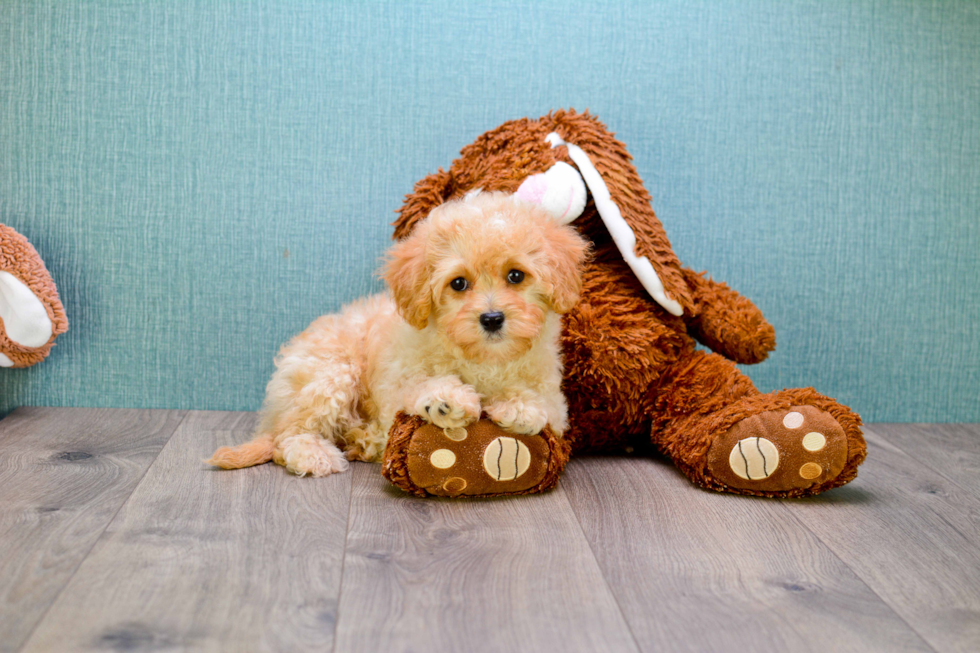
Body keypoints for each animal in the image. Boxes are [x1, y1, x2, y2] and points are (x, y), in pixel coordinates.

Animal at [208, 191, 584, 476]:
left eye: (516, 276)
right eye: (458, 283)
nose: (492, 318)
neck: (483, 359)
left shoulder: (555, 395)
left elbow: (544, 404)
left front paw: (521, 407)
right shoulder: (397, 380)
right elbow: (417, 386)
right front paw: (447, 399)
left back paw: (361, 439)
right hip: (329, 374)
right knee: (290, 435)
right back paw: (317, 454)